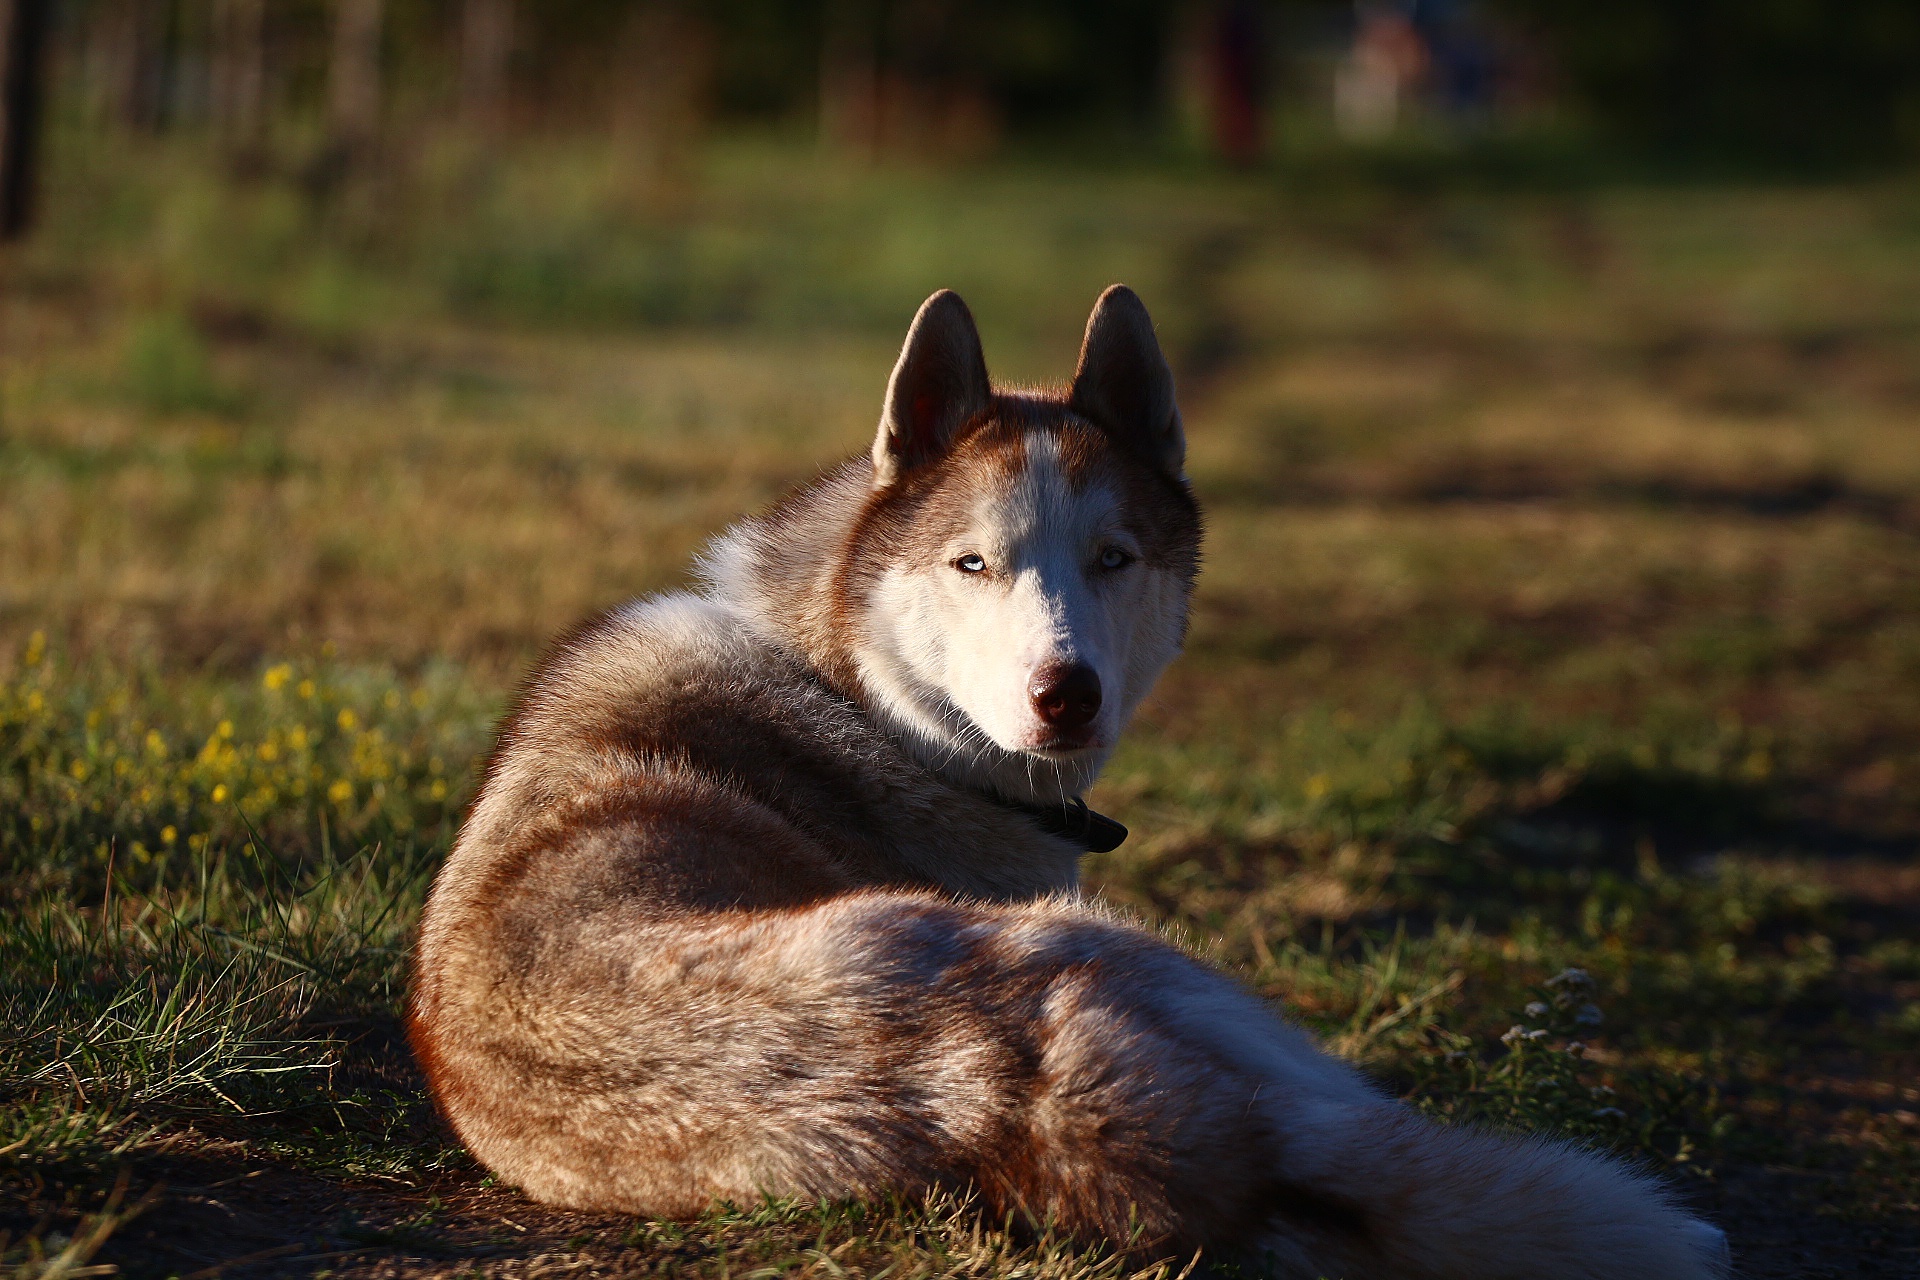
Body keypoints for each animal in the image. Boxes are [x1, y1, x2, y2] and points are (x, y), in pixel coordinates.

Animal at [412, 289, 1735, 1280]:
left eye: (1114, 557)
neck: (852, 683)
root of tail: (1014, 1097)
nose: (1067, 694)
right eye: (972, 564)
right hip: (1148, 958)